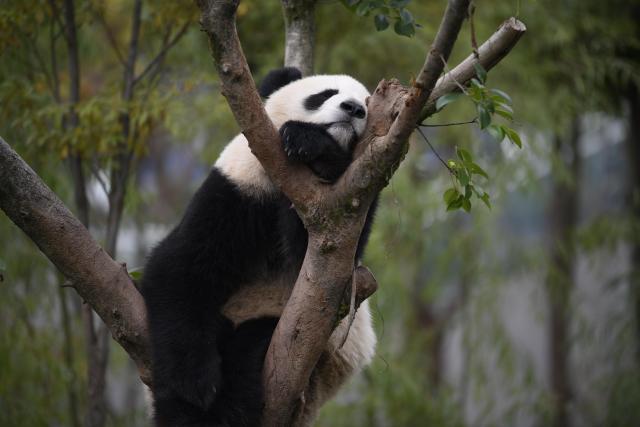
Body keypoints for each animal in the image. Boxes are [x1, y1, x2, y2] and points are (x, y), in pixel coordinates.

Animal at [141, 67, 379, 427]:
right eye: (325, 94)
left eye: (367, 104)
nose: (353, 109)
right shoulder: (239, 189)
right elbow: (180, 267)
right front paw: (194, 382)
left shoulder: (341, 212)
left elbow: (320, 262)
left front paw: (314, 146)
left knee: (251, 350)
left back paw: (226, 409)